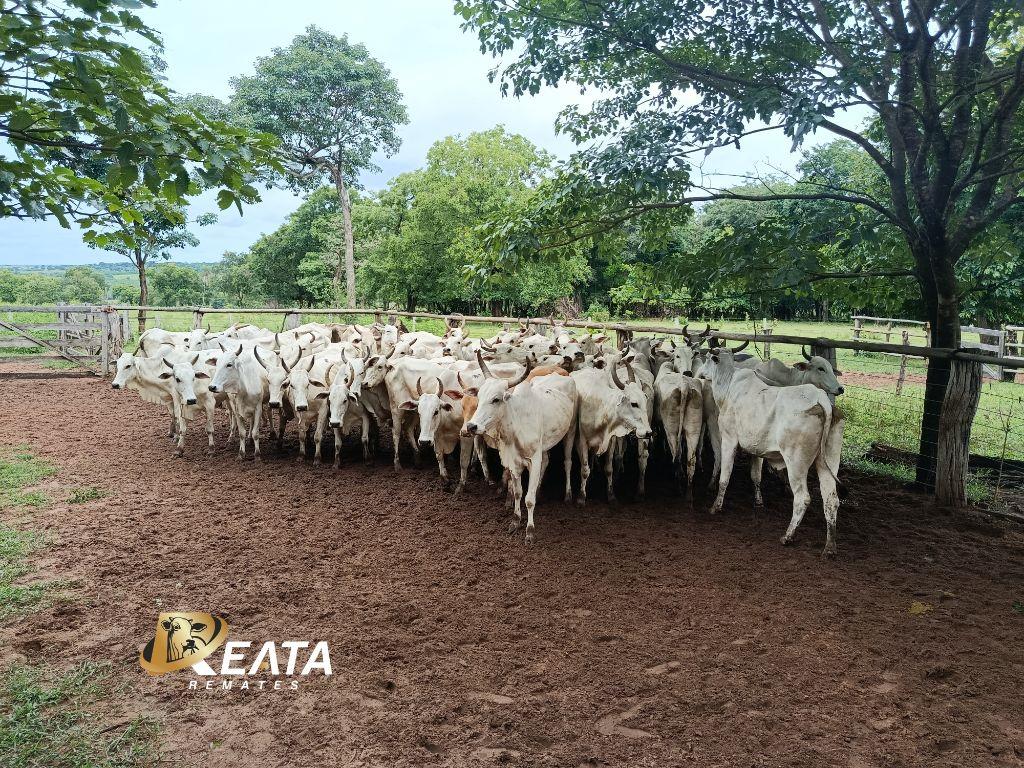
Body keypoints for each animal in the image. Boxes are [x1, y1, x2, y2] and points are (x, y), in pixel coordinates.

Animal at [465, 352, 577, 544]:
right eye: (478, 398)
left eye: (496, 399)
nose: (472, 426)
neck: (514, 428)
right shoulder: (514, 462)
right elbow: (518, 492)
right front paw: (515, 521)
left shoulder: (534, 460)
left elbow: (529, 499)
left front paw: (530, 531)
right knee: (546, 461)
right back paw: (539, 490)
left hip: (571, 431)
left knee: (568, 461)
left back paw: (567, 494)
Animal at [702, 348, 842, 556]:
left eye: (708, 359)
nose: (700, 373)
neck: (729, 384)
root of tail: (822, 399)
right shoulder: (756, 449)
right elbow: (756, 476)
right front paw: (758, 502)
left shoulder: (729, 439)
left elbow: (724, 478)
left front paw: (715, 507)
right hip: (827, 462)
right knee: (831, 500)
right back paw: (830, 546)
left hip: (796, 463)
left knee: (802, 498)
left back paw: (788, 536)